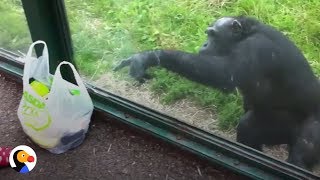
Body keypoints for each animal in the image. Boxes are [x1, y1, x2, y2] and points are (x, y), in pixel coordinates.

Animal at [113, 15, 320, 172]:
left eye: (213, 34)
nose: (204, 44)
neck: (244, 35)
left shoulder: (256, 47)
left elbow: (223, 74)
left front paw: (148, 57)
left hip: (314, 127)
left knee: (302, 151)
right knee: (248, 127)